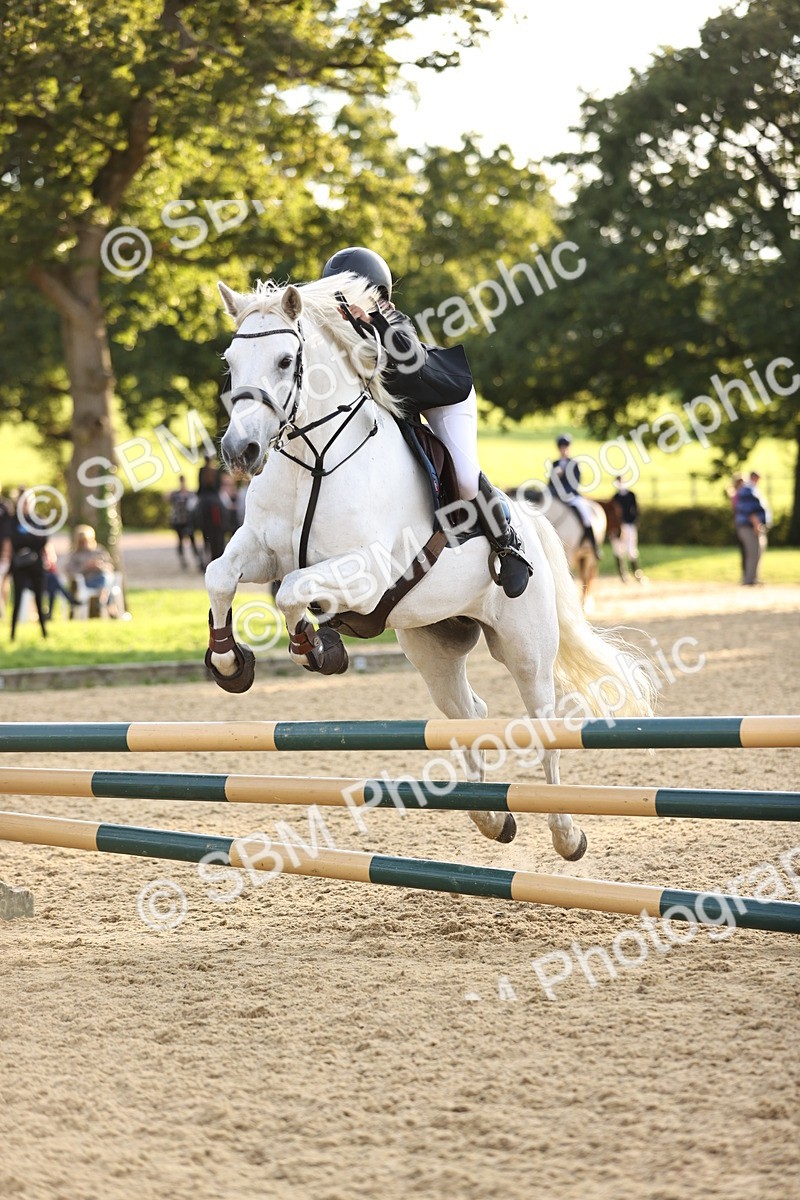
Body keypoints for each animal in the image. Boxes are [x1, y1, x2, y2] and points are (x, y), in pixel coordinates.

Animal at [205, 274, 656, 862]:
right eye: (230, 363)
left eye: (285, 361)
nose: (241, 450)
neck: (316, 459)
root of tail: (535, 521)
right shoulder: (260, 548)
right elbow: (222, 575)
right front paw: (231, 663)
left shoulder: (366, 574)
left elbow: (292, 592)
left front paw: (315, 647)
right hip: (433, 646)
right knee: (467, 713)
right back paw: (492, 818)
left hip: (526, 647)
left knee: (543, 723)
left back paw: (566, 834)